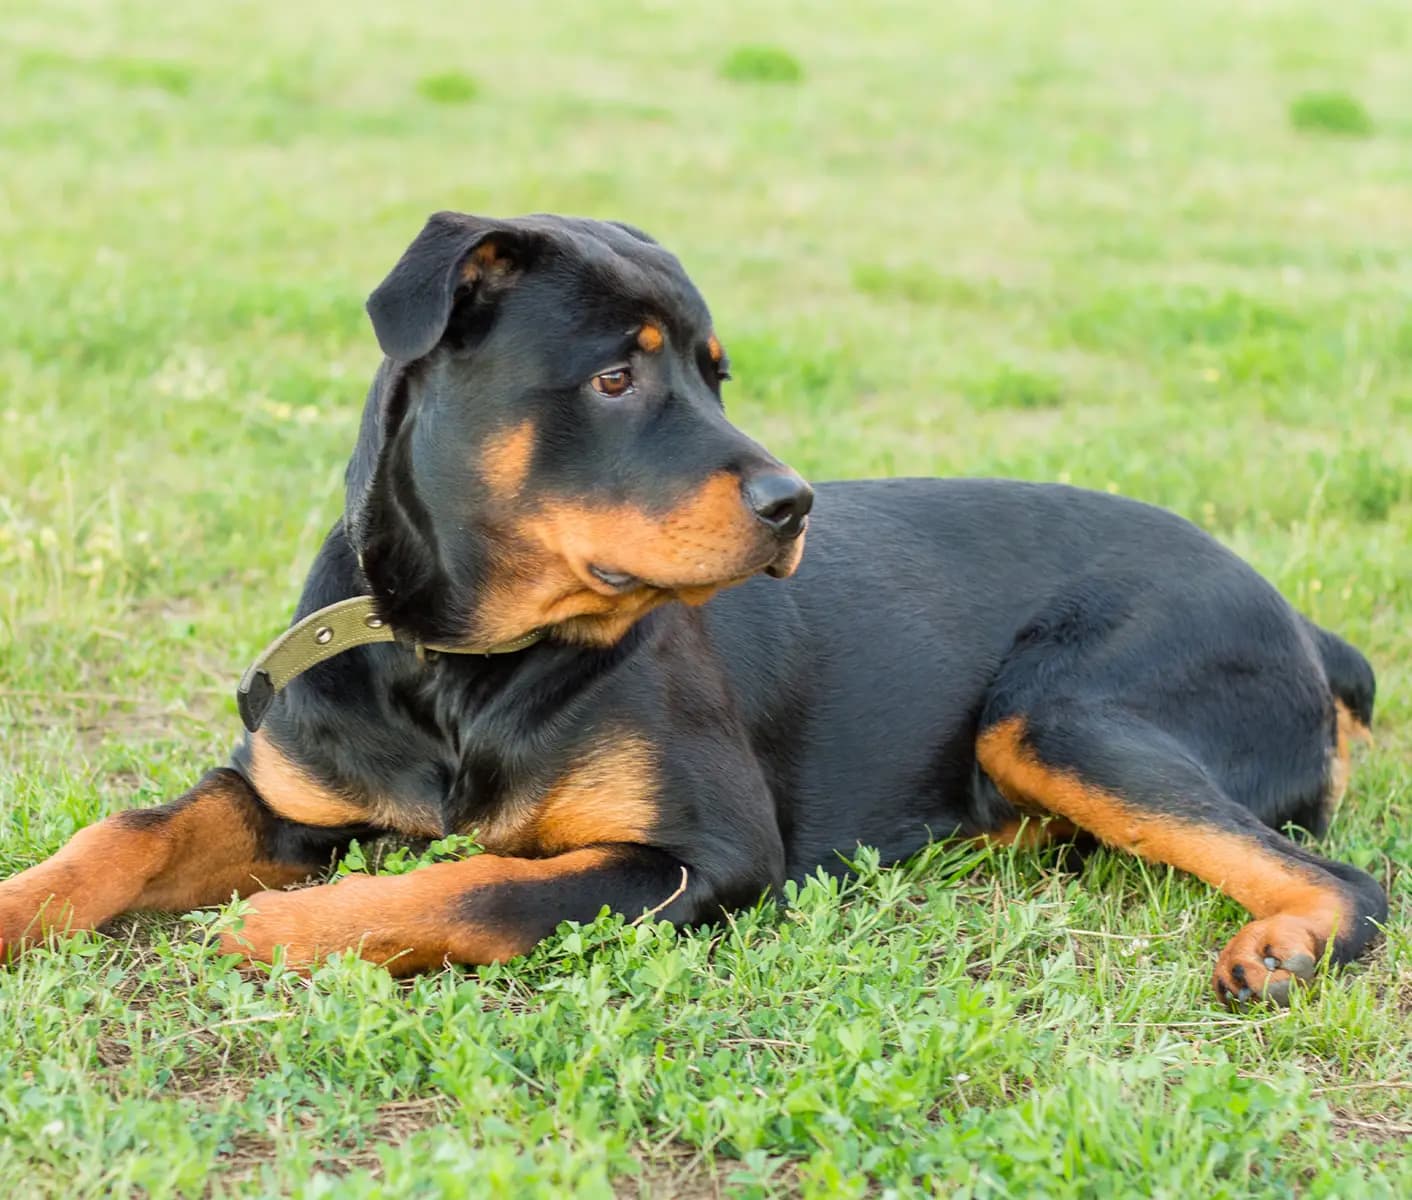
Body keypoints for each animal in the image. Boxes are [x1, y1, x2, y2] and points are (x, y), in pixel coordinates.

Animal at [0, 213, 1383, 999]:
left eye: (715, 375)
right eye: (615, 377)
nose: (793, 502)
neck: (453, 662)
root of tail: (1299, 623)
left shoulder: (704, 855)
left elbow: (477, 885)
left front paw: (291, 926)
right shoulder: (285, 793)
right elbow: (123, 834)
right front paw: (19, 908)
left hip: (1058, 716)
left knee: (1348, 882)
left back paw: (1282, 949)